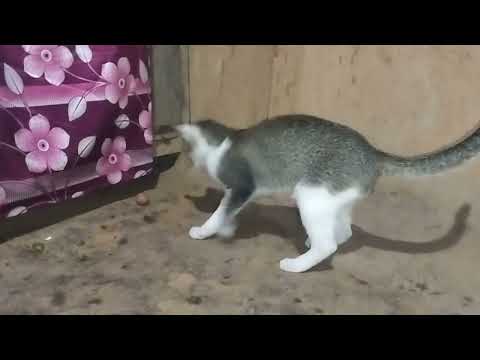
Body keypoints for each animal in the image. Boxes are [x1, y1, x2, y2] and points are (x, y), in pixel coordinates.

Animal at [175, 115, 480, 272]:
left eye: (191, 151)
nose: (191, 161)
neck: (224, 141)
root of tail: (373, 152)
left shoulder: (241, 186)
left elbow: (221, 211)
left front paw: (205, 230)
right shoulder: (240, 194)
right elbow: (229, 212)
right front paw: (227, 229)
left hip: (311, 194)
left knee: (329, 245)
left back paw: (297, 264)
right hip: (334, 199)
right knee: (343, 232)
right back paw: (315, 240)